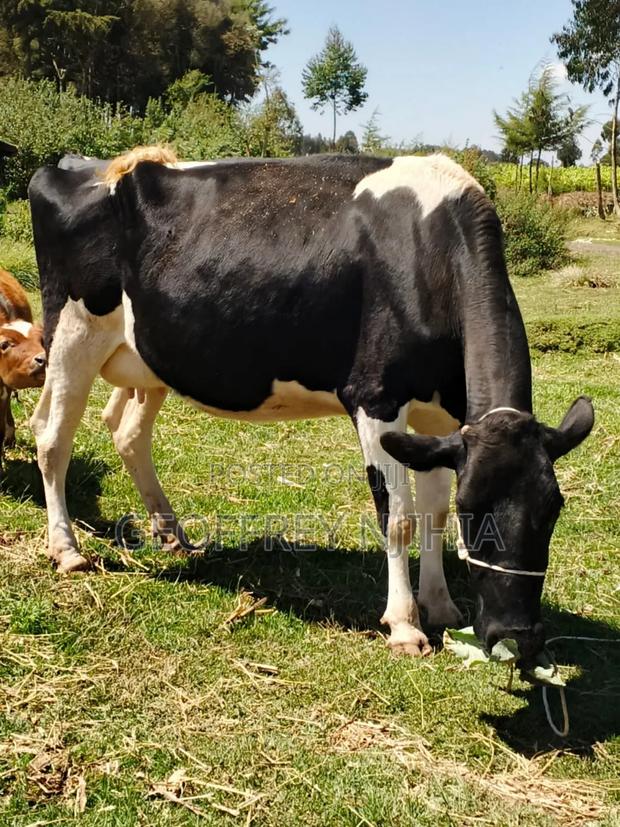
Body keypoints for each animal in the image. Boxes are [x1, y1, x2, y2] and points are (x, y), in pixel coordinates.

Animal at [28, 146, 593, 663]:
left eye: (554, 509)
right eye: (473, 510)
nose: (516, 636)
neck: (429, 250)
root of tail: (81, 163)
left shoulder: (442, 417)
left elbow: (431, 512)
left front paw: (441, 605)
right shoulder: (376, 398)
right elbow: (399, 517)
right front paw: (405, 625)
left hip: (147, 359)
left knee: (127, 433)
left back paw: (173, 536)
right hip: (72, 333)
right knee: (53, 438)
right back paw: (67, 550)